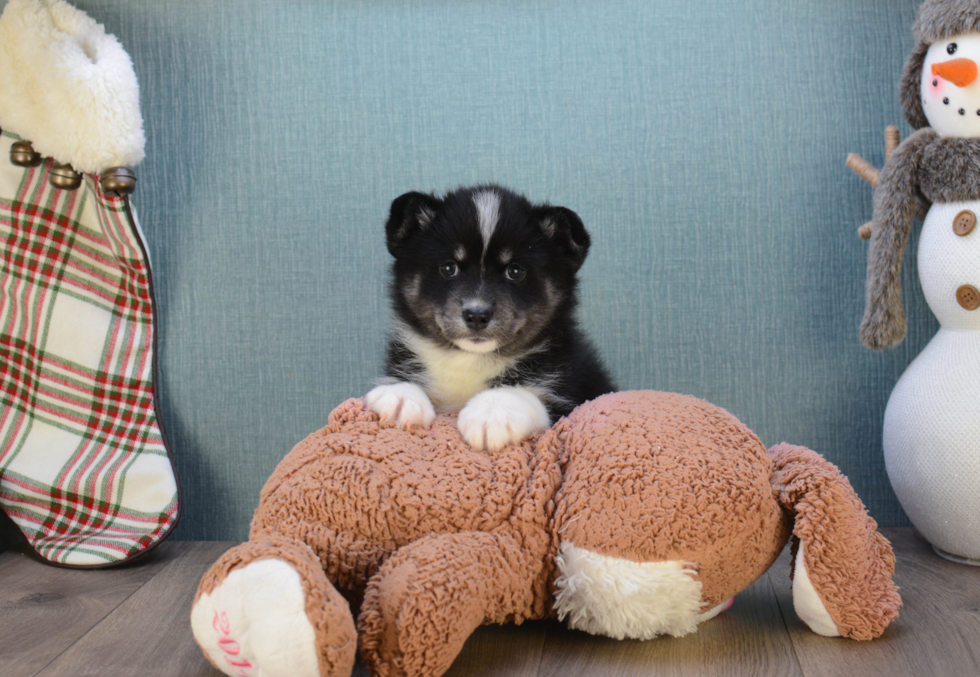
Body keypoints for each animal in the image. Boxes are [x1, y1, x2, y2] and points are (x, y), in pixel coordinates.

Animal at [368, 184, 612, 448]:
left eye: (515, 271)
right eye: (448, 267)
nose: (477, 315)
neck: (470, 359)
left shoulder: (572, 394)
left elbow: (530, 395)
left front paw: (493, 413)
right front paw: (400, 397)